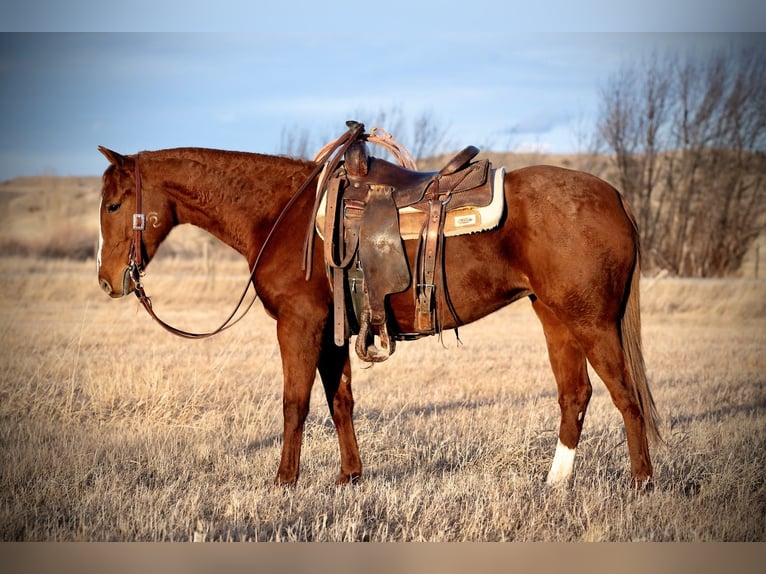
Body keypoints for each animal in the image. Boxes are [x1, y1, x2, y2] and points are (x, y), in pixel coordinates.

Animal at [96, 141, 660, 487]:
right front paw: (350, 477)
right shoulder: (332, 333)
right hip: (555, 317)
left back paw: (641, 483)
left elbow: (295, 404)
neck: (284, 215)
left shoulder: (299, 326)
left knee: (626, 397)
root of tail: (613, 196)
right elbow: (340, 402)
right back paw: (555, 483)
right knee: (576, 395)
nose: (108, 280)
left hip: (591, 322)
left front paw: (284, 481)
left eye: (113, 205)